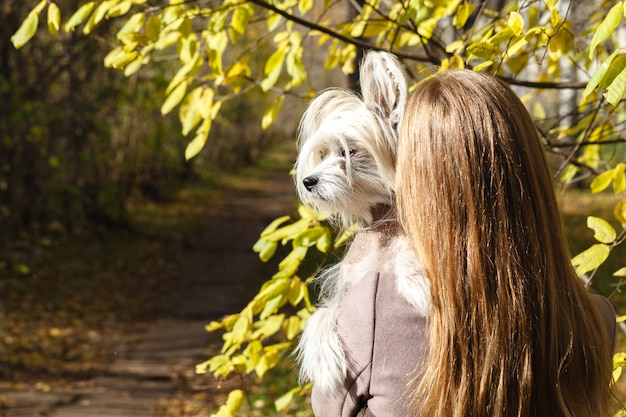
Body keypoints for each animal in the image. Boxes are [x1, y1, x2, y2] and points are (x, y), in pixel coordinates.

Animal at [292, 50, 428, 394]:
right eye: (324, 153)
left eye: (349, 152)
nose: (309, 181)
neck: (381, 230)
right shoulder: (345, 290)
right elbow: (322, 315)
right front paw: (325, 362)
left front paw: (415, 278)